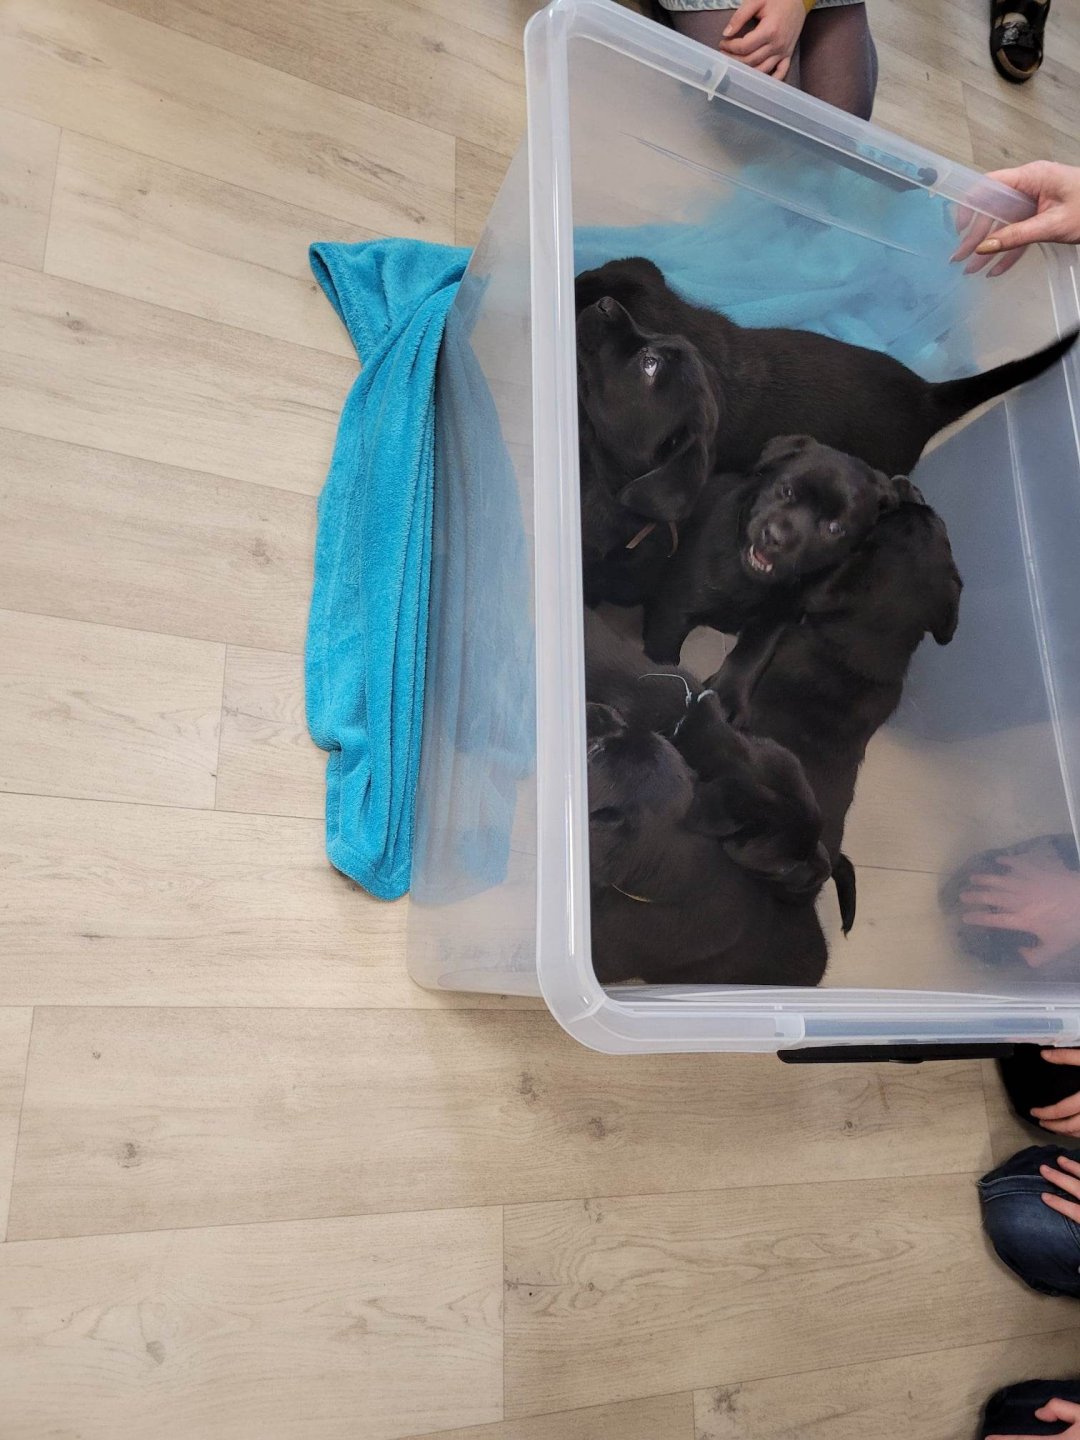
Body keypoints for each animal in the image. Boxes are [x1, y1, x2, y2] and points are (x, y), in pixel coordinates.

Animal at [642, 434, 922, 663]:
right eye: (787, 491)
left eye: (834, 528)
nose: (774, 537)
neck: (751, 582)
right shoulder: (673, 610)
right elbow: (664, 659)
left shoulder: (770, 626)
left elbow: (745, 666)